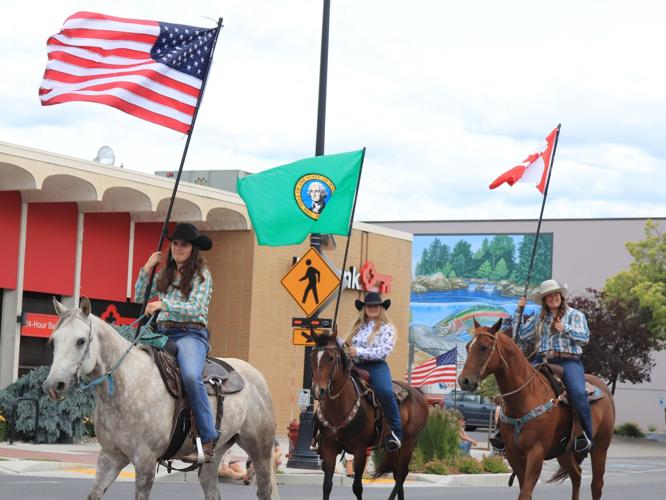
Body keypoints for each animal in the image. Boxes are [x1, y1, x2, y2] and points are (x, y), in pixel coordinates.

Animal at [43, 298, 278, 498]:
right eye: (53, 342)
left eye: (81, 341)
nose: (53, 386)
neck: (125, 387)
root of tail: (255, 374)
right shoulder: (109, 457)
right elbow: (94, 493)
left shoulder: (145, 462)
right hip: (215, 455)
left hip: (260, 450)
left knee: (264, 490)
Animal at [310, 332, 428, 500]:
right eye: (312, 357)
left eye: (331, 358)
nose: (317, 390)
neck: (339, 406)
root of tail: (418, 393)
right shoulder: (328, 447)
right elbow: (327, 486)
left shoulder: (360, 450)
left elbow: (357, 487)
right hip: (393, 447)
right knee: (398, 473)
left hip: (409, 442)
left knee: (402, 474)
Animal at [456, 320, 612, 500]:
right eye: (468, 346)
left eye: (484, 347)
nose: (464, 381)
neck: (525, 397)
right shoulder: (513, 453)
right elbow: (524, 490)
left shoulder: (536, 453)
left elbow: (525, 493)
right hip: (564, 453)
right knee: (577, 475)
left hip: (600, 448)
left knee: (596, 485)